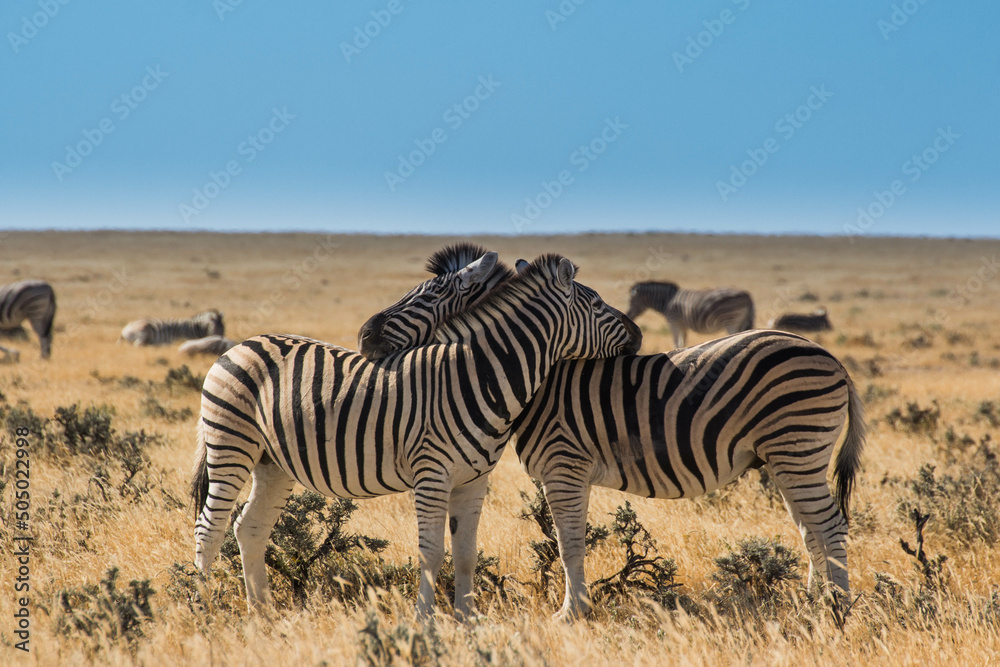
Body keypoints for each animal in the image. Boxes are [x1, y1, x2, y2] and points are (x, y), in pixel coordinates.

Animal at [191, 254, 641, 620]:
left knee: (249, 528)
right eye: (597, 304)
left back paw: (261, 612)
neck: (476, 375)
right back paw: (207, 610)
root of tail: (243, 344)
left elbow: (465, 553)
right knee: (209, 527)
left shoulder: (474, 480)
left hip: (273, 463)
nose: (637, 336)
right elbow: (431, 552)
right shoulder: (432, 474)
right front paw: (424, 617)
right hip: (231, 442)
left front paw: (467, 617)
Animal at [360, 264, 865, 620]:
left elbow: (569, 543)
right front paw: (577, 609)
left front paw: (571, 614)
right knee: (811, 530)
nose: (365, 336)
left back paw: (837, 610)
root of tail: (832, 359)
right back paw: (812, 603)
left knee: (831, 526)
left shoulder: (564, 467)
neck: (541, 380)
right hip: (787, 458)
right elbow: (572, 541)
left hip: (797, 448)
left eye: (431, 293)